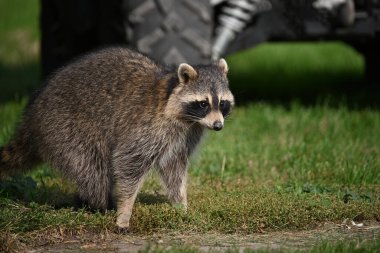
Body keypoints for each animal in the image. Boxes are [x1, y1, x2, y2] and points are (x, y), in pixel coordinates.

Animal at [0, 46, 235, 228]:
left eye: (222, 103)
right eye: (203, 103)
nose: (218, 126)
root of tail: (31, 119)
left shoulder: (184, 137)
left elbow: (174, 169)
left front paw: (181, 204)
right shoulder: (148, 128)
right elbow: (129, 163)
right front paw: (124, 210)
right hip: (65, 128)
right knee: (92, 170)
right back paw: (98, 206)